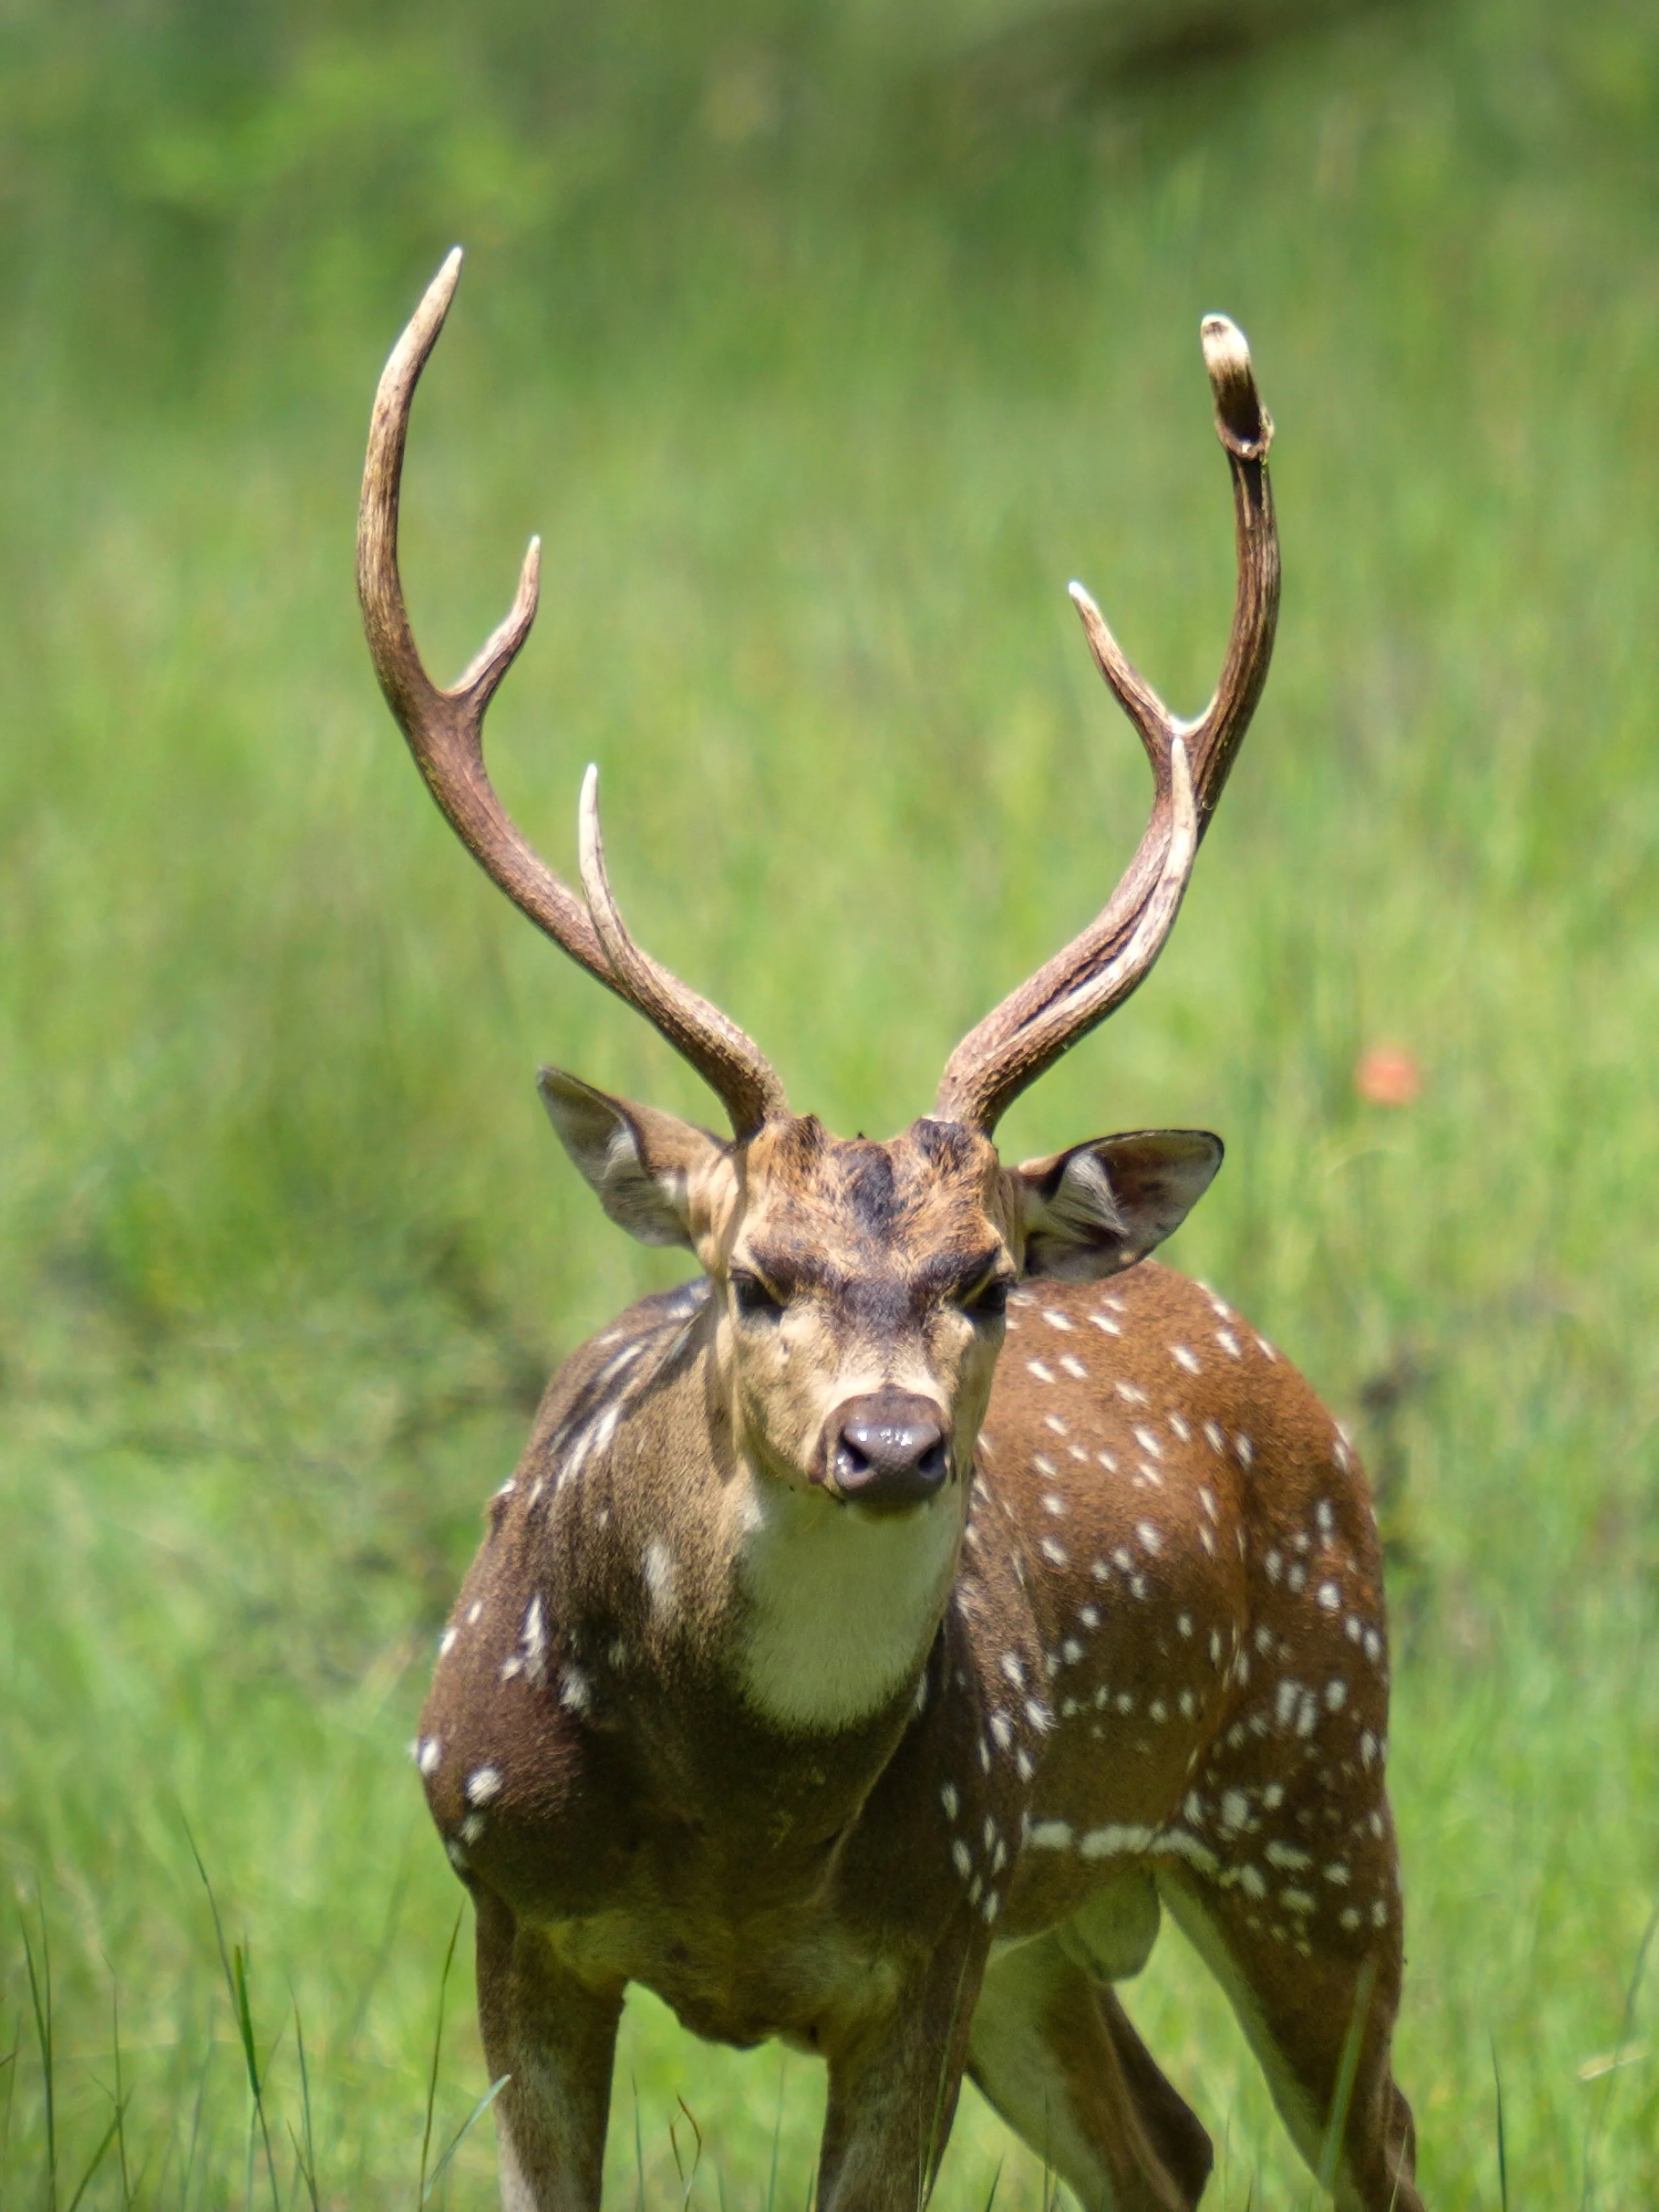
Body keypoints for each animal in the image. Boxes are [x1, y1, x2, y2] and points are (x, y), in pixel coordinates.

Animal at [358, 251, 1423, 2212]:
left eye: (982, 1277)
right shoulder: (507, 1896)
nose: (889, 1440)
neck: (743, 1838)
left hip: (1310, 1784)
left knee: (1362, 2132)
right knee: (1170, 2140)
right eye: (748, 1278)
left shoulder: (931, 1924)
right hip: (1064, 1930)